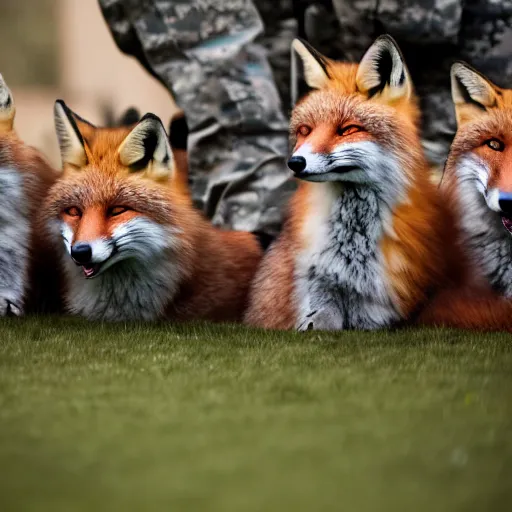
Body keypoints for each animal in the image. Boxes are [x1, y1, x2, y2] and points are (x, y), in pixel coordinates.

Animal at [244, 37, 452, 332]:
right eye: (305, 130)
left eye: (348, 129)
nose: (295, 162)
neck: (354, 245)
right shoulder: (318, 288)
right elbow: (315, 321)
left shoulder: (378, 308)